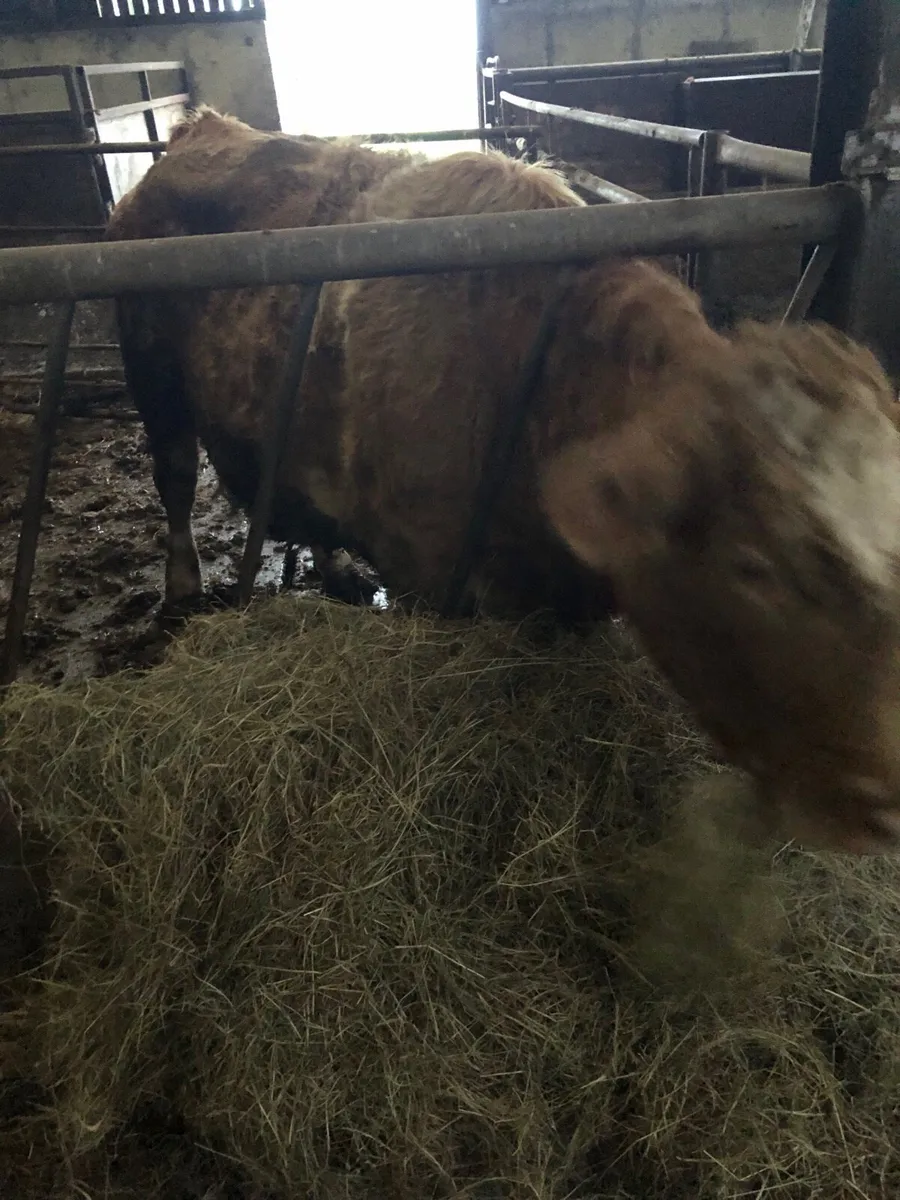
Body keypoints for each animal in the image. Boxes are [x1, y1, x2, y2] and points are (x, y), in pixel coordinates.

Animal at [108, 109, 900, 857]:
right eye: (754, 565)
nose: (884, 802)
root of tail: (205, 127)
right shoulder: (427, 578)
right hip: (156, 385)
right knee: (175, 480)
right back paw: (182, 592)